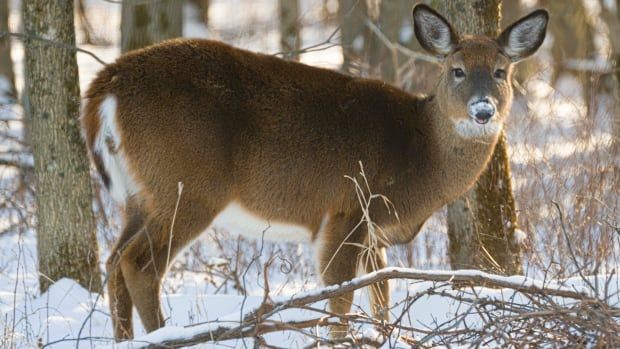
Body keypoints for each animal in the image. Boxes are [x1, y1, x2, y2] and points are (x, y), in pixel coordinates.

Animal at [81, 3, 548, 340]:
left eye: (501, 72)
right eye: (457, 70)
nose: (483, 110)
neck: (419, 156)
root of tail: (105, 86)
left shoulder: (373, 231)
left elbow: (381, 294)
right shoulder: (347, 208)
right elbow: (339, 299)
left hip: (140, 194)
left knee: (115, 260)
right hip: (189, 186)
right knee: (139, 264)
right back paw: (164, 335)